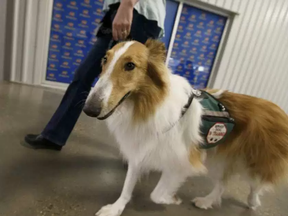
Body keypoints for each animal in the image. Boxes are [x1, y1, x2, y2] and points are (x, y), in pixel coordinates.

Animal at [83, 39, 288, 216]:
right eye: (104, 59)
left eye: (130, 65)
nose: (89, 109)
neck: (147, 104)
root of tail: (279, 110)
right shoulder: (140, 151)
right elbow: (128, 185)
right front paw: (116, 208)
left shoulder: (182, 161)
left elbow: (156, 194)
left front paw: (172, 199)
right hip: (218, 159)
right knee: (222, 183)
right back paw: (206, 201)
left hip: (253, 161)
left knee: (256, 184)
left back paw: (253, 202)